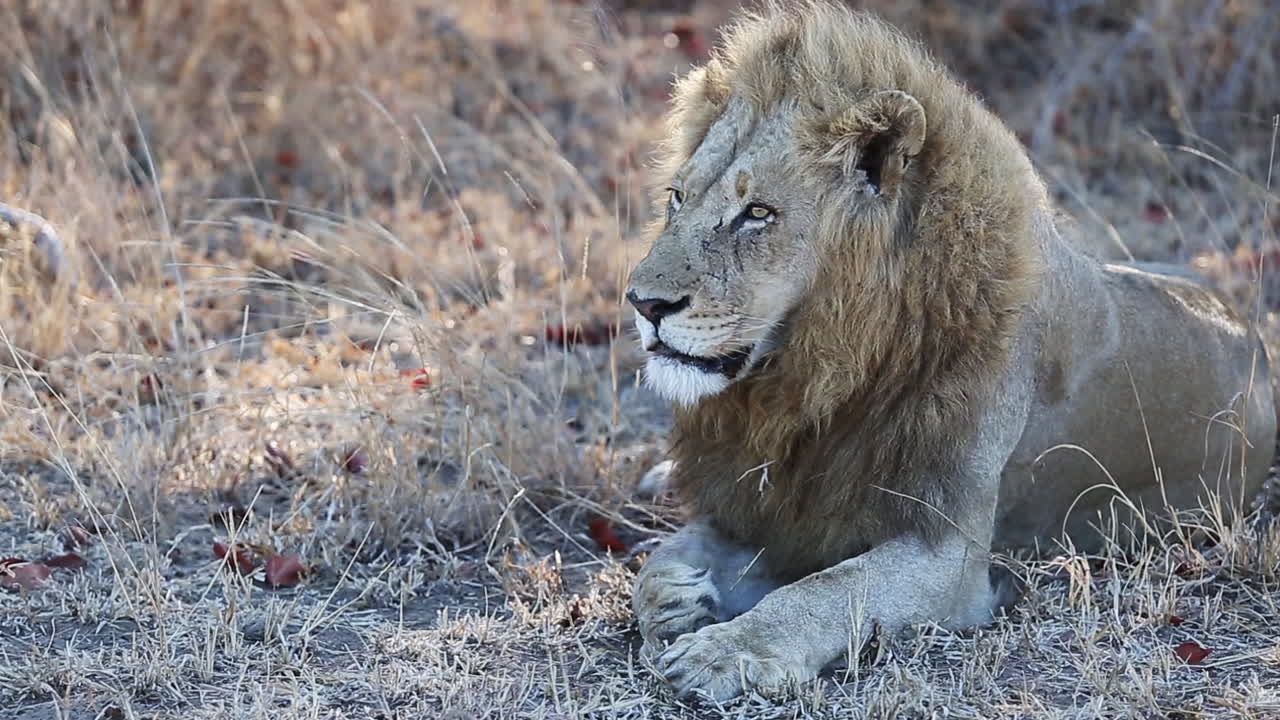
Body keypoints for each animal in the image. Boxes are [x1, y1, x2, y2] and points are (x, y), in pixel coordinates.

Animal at [625, 1, 1276, 701]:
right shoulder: (775, 505)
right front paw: (679, 600)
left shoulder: (950, 555)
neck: (814, 378)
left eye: (757, 214)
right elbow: (663, 558)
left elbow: (828, 590)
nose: (642, 302)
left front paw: (727, 651)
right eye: (677, 198)